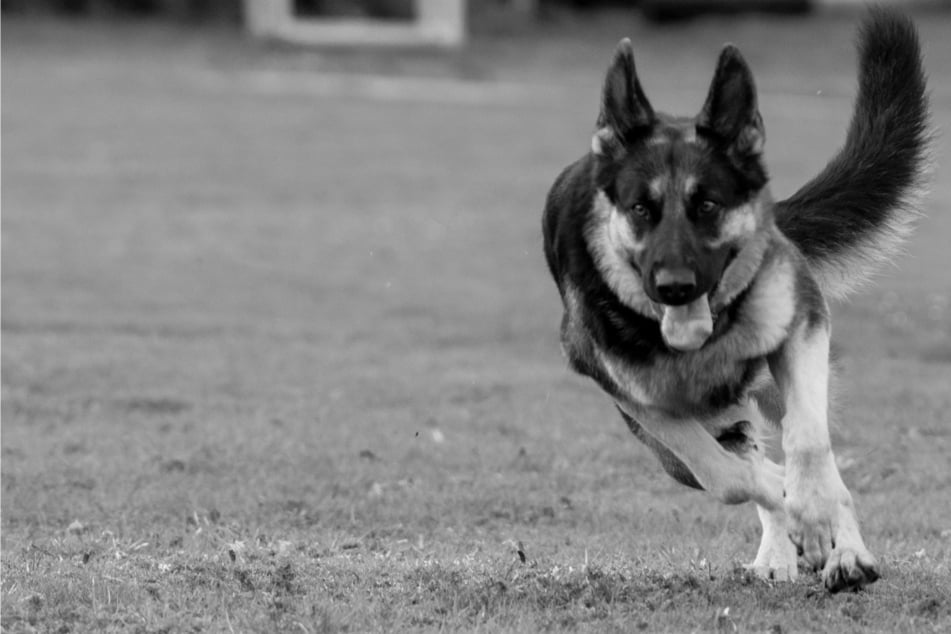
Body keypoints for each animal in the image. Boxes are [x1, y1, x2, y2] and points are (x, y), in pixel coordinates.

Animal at [544, 7, 928, 592]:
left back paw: (844, 551)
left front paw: (822, 520)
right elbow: (728, 477)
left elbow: (809, 445)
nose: (675, 286)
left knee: (813, 451)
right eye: (639, 209)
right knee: (741, 458)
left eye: (708, 205)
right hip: (682, 440)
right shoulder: (645, 404)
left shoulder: (803, 329)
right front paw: (790, 506)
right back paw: (781, 547)